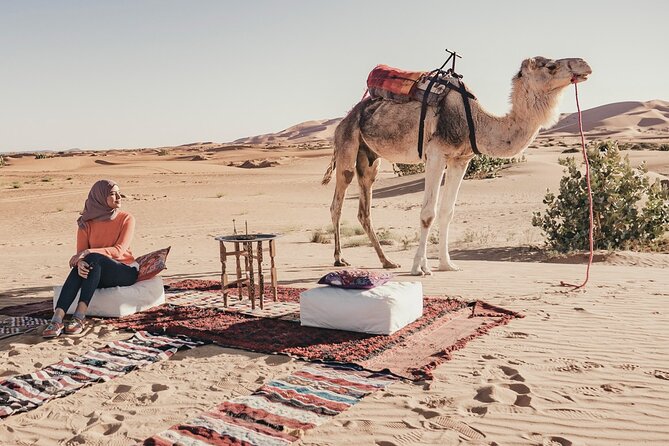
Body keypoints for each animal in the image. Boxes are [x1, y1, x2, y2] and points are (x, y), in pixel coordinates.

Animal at [322, 56, 592, 275]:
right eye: (551, 66)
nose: (584, 64)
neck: (477, 122)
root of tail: (346, 117)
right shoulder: (436, 153)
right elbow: (427, 214)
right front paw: (420, 268)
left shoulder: (460, 159)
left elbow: (447, 212)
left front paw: (446, 264)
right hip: (347, 144)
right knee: (337, 202)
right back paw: (339, 259)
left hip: (369, 158)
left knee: (364, 209)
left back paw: (387, 261)